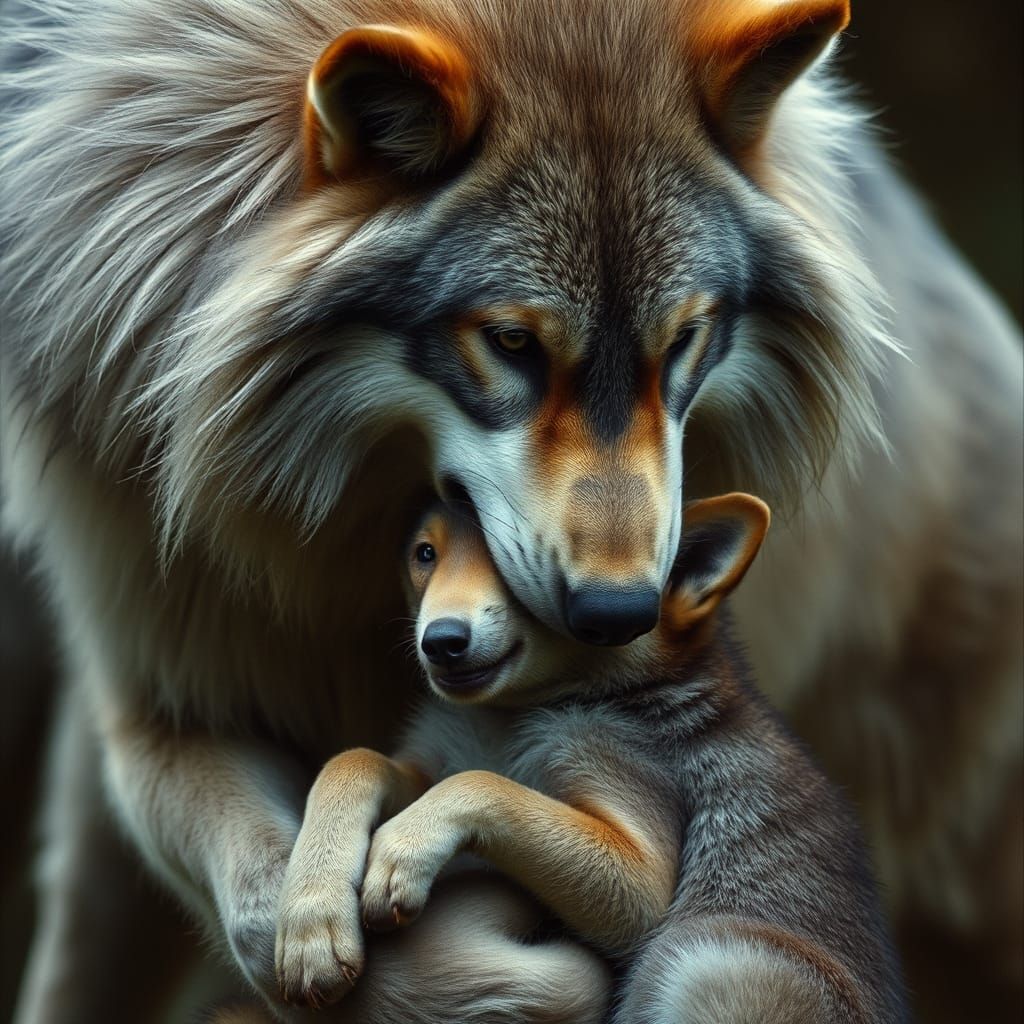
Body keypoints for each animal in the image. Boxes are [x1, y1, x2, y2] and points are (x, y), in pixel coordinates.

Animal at [273, 495, 906, 1023]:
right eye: (425, 554)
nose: (442, 640)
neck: (506, 720)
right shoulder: (427, 762)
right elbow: (353, 760)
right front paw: (313, 921)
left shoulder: (643, 868)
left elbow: (482, 785)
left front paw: (399, 853)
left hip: (705, 958)